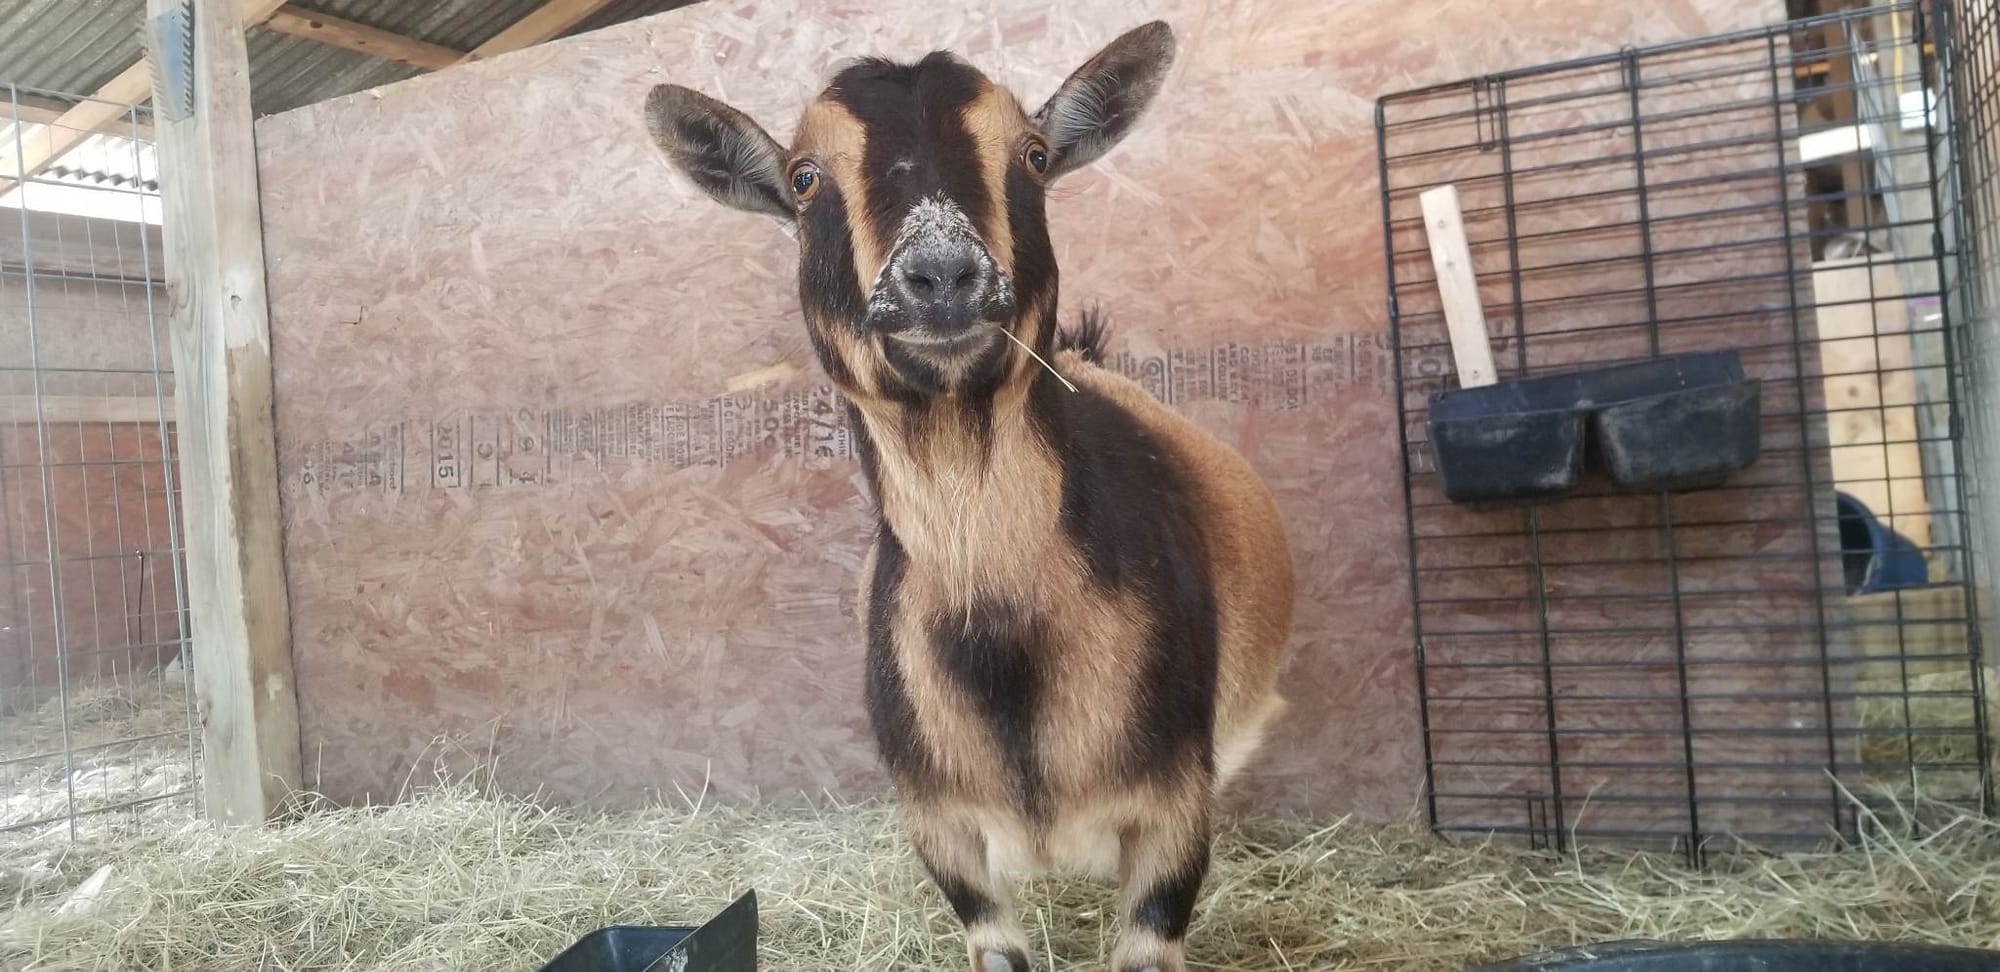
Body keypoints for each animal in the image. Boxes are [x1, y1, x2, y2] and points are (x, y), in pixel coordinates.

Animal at [644, 21, 1295, 972]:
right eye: (803, 178)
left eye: (1032, 154)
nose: (943, 275)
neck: (998, 630)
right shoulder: (942, 831)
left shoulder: (1173, 809)